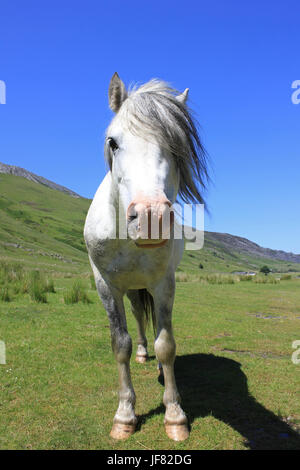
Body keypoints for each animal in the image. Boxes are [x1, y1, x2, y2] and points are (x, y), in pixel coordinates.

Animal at [83, 73, 207, 440]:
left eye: (177, 146)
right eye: (113, 142)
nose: (151, 217)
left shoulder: (163, 283)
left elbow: (166, 344)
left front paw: (175, 416)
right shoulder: (105, 285)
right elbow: (119, 344)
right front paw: (125, 415)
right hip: (129, 288)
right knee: (138, 318)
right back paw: (141, 352)